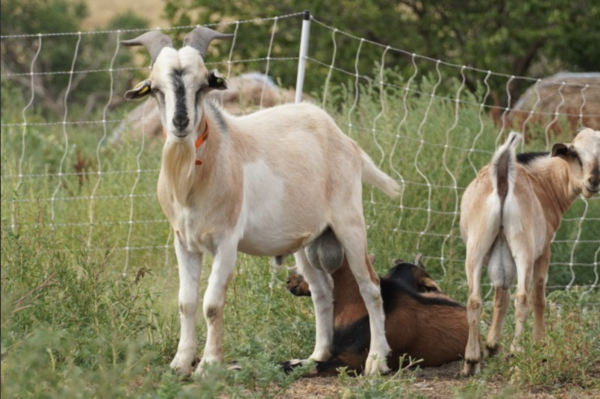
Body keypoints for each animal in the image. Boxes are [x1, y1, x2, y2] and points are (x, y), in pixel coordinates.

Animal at [121, 26, 398, 376]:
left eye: (202, 86)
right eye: (156, 89)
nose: (180, 123)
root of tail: (347, 142)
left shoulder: (226, 241)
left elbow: (211, 303)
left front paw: (208, 365)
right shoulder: (183, 242)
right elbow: (186, 302)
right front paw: (180, 364)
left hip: (349, 222)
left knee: (370, 286)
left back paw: (376, 361)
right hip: (306, 240)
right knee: (322, 291)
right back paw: (316, 356)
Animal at [462, 129, 596, 378]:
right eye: (576, 155)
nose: (594, 181)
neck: (543, 183)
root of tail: (503, 177)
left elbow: (500, 296)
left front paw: (492, 345)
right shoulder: (543, 252)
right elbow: (538, 298)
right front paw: (539, 344)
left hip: (476, 243)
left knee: (474, 299)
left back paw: (472, 361)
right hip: (524, 247)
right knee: (523, 297)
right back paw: (517, 355)